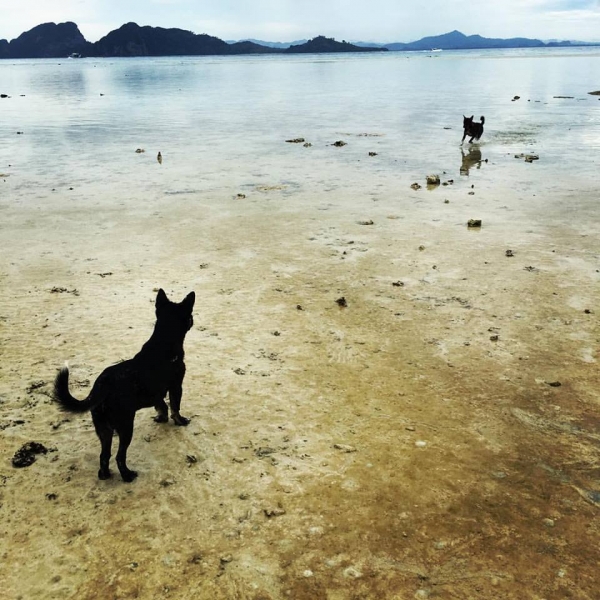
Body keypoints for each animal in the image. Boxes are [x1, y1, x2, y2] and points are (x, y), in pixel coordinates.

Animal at [53, 290, 195, 482]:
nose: (193, 320)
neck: (163, 344)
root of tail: (101, 386)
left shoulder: (156, 393)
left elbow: (161, 406)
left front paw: (161, 418)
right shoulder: (176, 386)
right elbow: (175, 407)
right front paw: (180, 421)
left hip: (104, 429)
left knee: (104, 456)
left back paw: (105, 475)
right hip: (126, 426)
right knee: (119, 456)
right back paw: (127, 475)